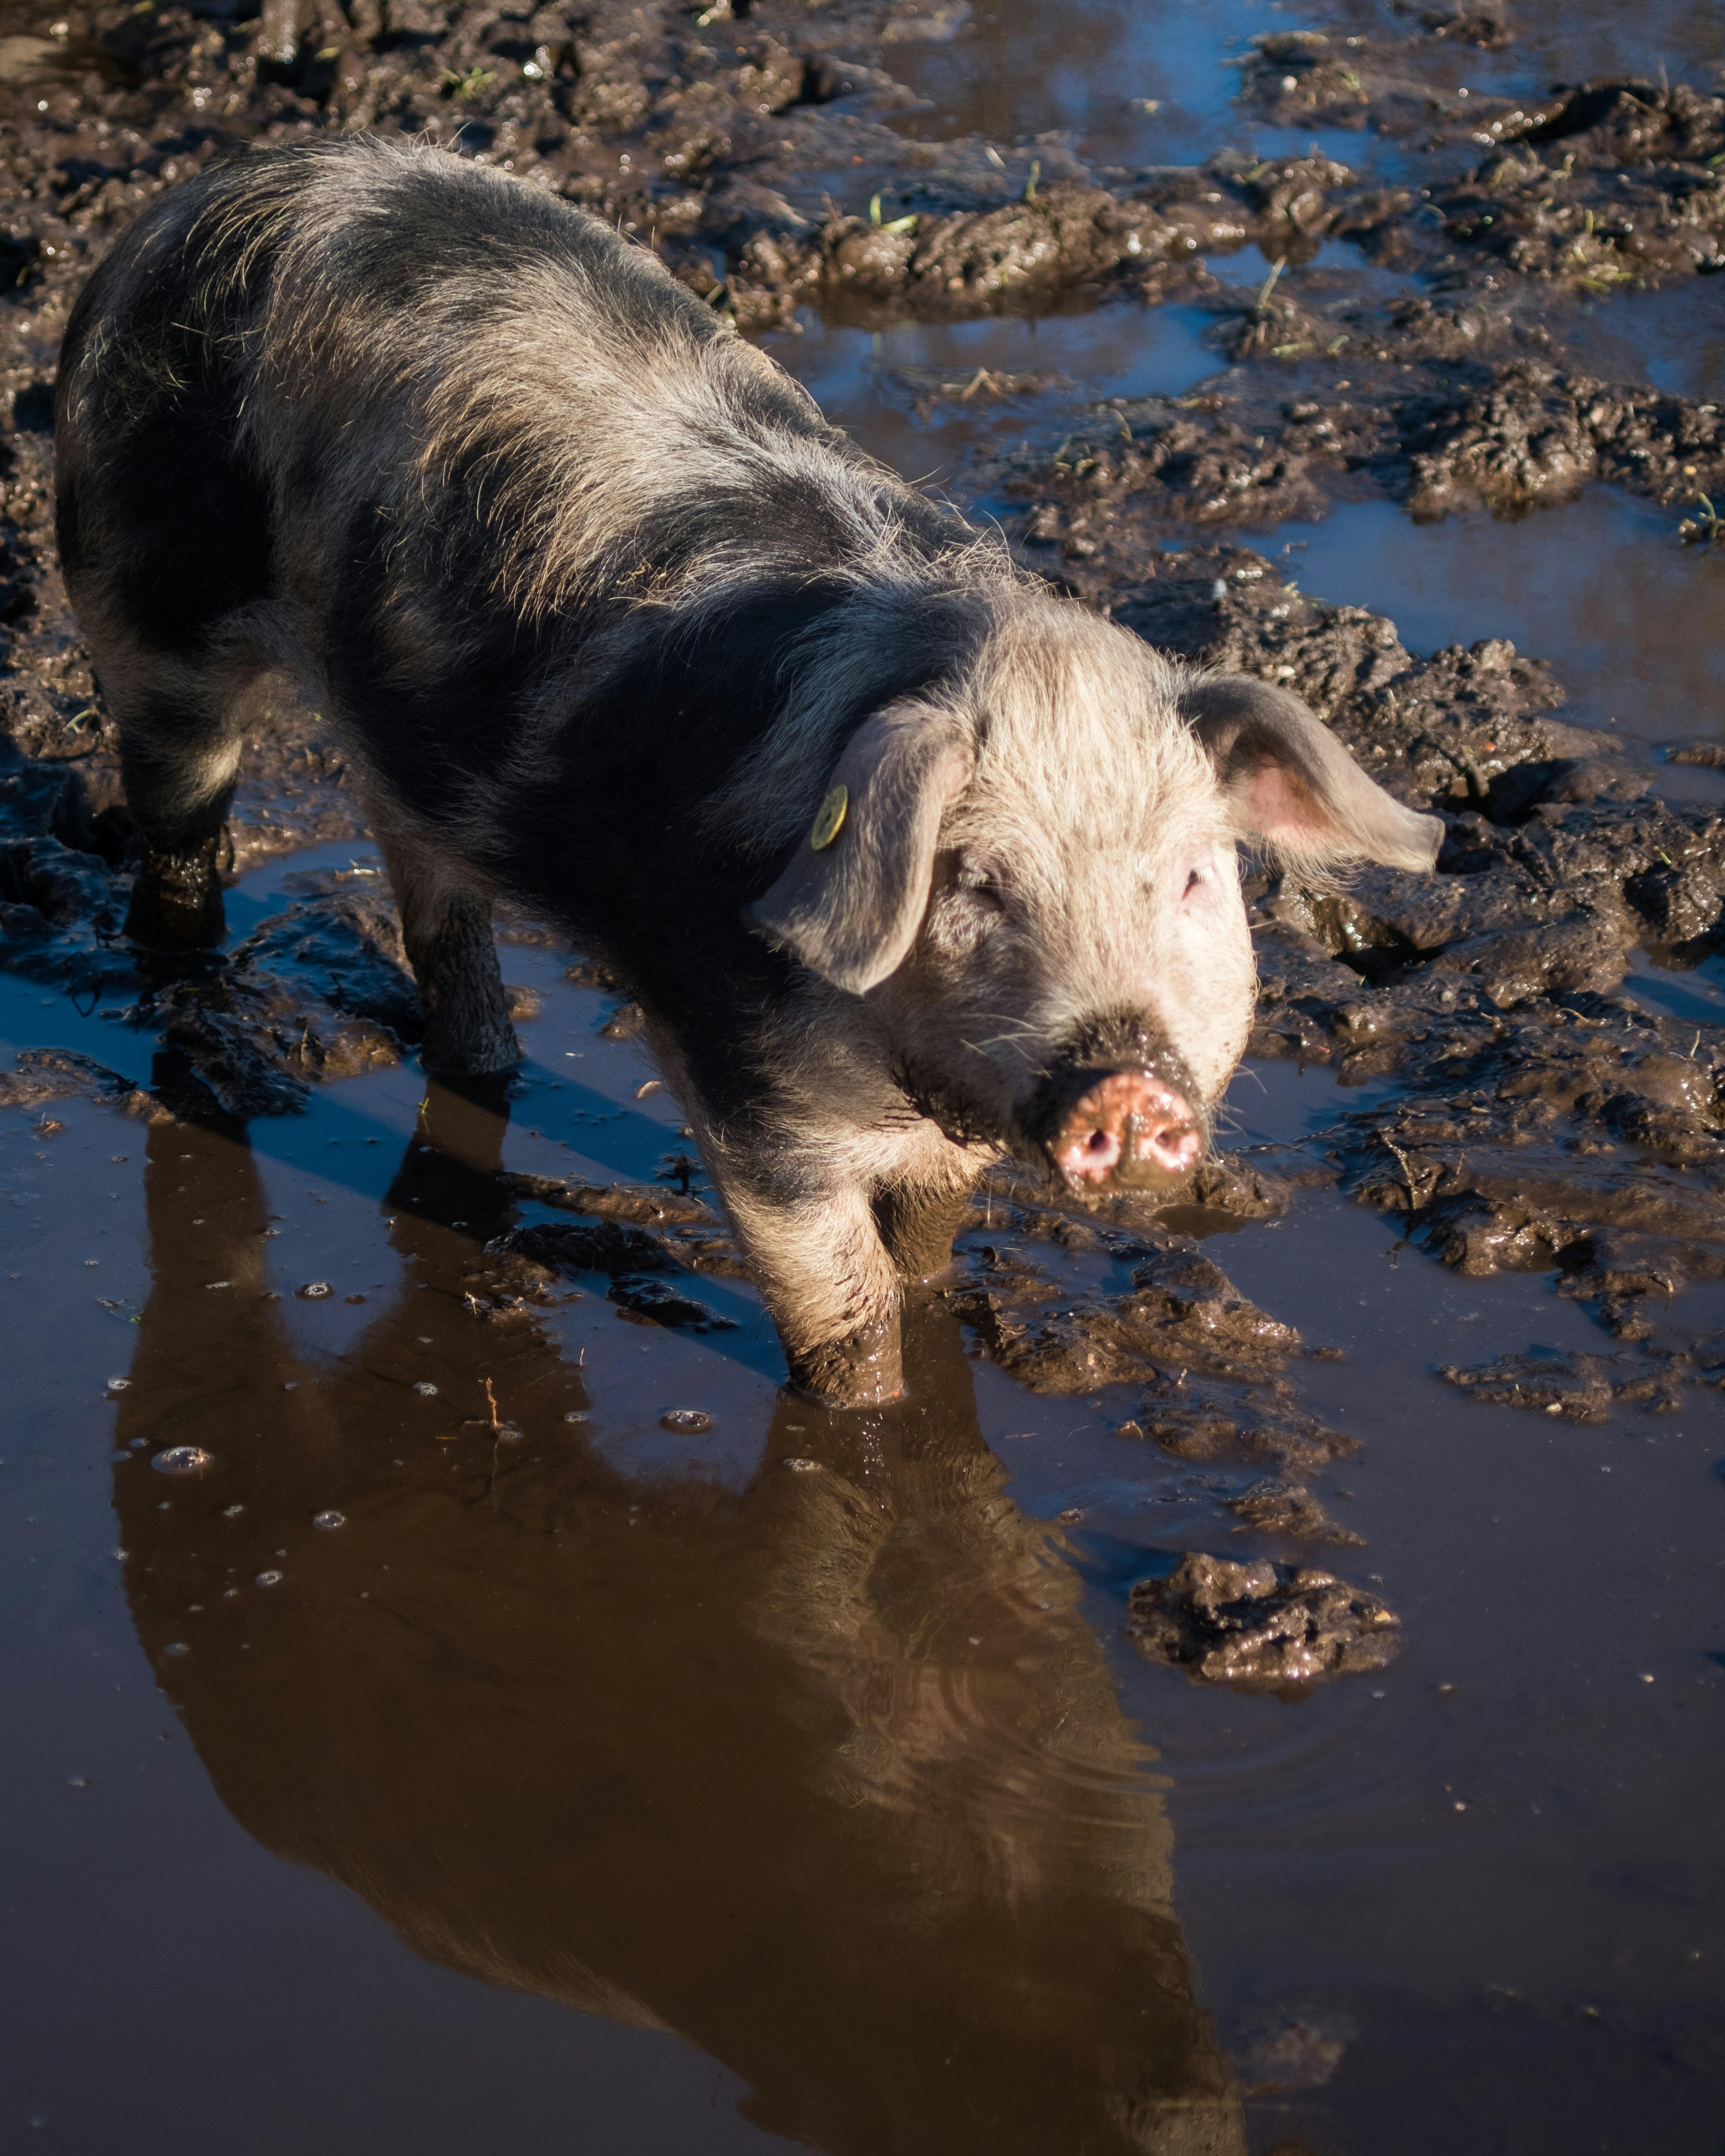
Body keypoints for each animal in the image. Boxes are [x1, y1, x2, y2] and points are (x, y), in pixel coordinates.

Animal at [54, 136, 1441, 1404]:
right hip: (143, 610)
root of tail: (214, 189)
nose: (1126, 1078)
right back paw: (188, 1010)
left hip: (412, 749)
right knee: (179, 826)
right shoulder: (741, 1082)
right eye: (976, 884)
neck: (906, 1075)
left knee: (434, 905)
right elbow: (845, 1314)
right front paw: (871, 1419)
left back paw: (481, 1060)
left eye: (1194, 879)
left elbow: (924, 1251)